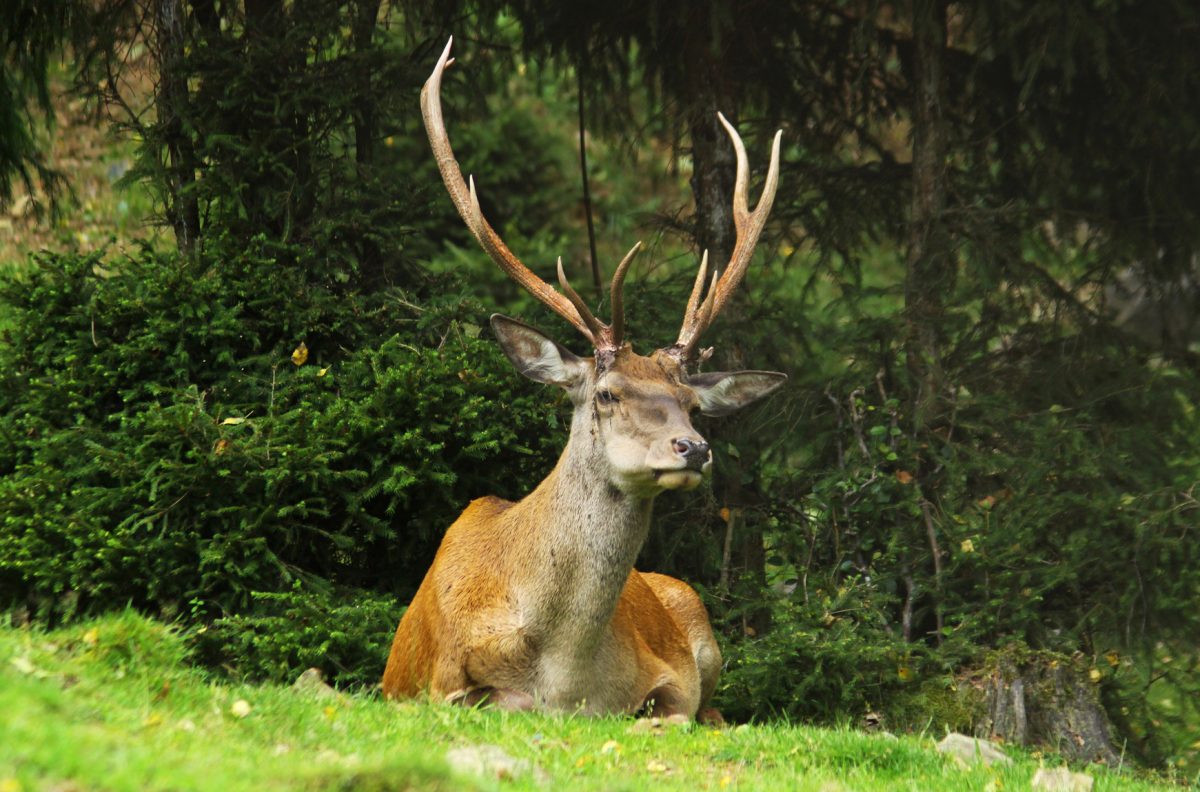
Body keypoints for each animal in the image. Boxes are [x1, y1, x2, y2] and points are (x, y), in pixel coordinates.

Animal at [381, 37, 785, 720]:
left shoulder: (667, 678)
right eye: (606, 393)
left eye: (691, 404)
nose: (694, 448)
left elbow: (674, 714)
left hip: (700, 623)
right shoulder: (437, 685)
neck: (563, 675)